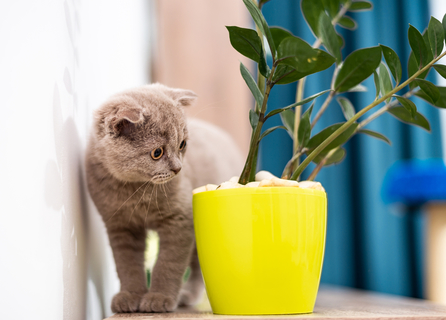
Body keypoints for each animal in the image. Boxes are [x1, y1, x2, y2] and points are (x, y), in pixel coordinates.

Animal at [85, 83, 242, 312]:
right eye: (157, 152)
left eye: (182, 144)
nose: (178, 168)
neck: (135, 192)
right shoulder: (119, 226)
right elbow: (127, 265)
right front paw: (130, 296)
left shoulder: (180, 220)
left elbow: (168, 263)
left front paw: (159, 298)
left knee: (198, 267)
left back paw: (187, 295)